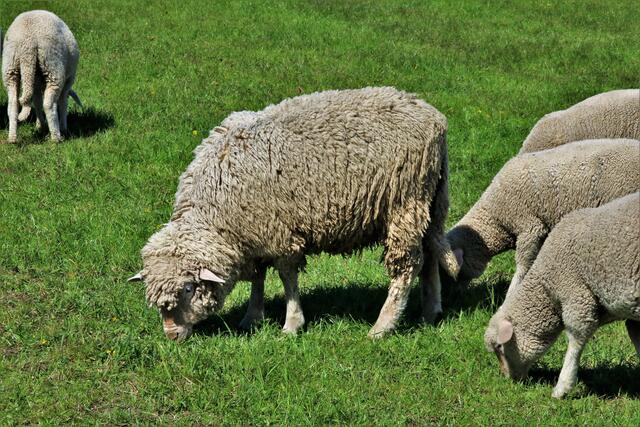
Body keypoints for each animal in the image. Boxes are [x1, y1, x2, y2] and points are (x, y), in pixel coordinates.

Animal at [1, 10, 81, 143]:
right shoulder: (68, 81)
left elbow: (37, 101)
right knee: (49, 104)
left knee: (13, 104)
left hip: (11, 68)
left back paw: (12, 137)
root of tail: (28, 42)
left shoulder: (36, 82)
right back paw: (56, 137)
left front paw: (40, 125)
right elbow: (63, 102)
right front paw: (63, 127)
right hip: (53, 67)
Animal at [130, 87, 460, 342]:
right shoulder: (255, 232)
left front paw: (291, 324)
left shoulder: (279, 230)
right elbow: (258, 276)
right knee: (430, 252)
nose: (171, 335)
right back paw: (431, 311)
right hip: (430, 201)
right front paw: (253, 317)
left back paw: (383, 326)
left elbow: (286, 277)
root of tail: (433, 117)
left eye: (188, 288)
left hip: (404, 202)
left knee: (407, 265)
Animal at [484, 192, 640, 400]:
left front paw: (562, 387)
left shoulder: (576, 295)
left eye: (500, 348)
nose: (508, 379)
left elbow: (576, 339)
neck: (547, 288)